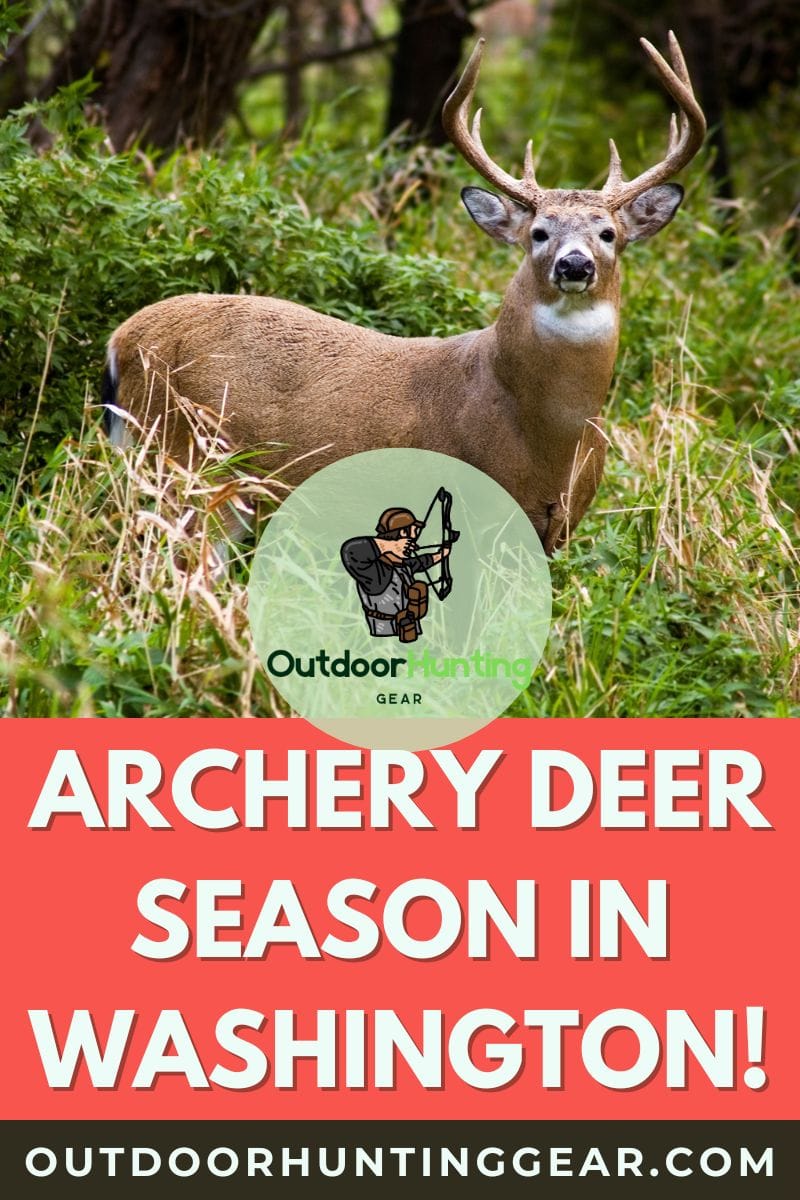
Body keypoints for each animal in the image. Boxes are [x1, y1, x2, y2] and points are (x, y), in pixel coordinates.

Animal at [102, 33, 705, 555]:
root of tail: (121, 339)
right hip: (186, 460)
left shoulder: (561, 529)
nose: (574, 264)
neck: (548, 436)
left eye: (608, 233)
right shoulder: (477, 511)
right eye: (538, 232)